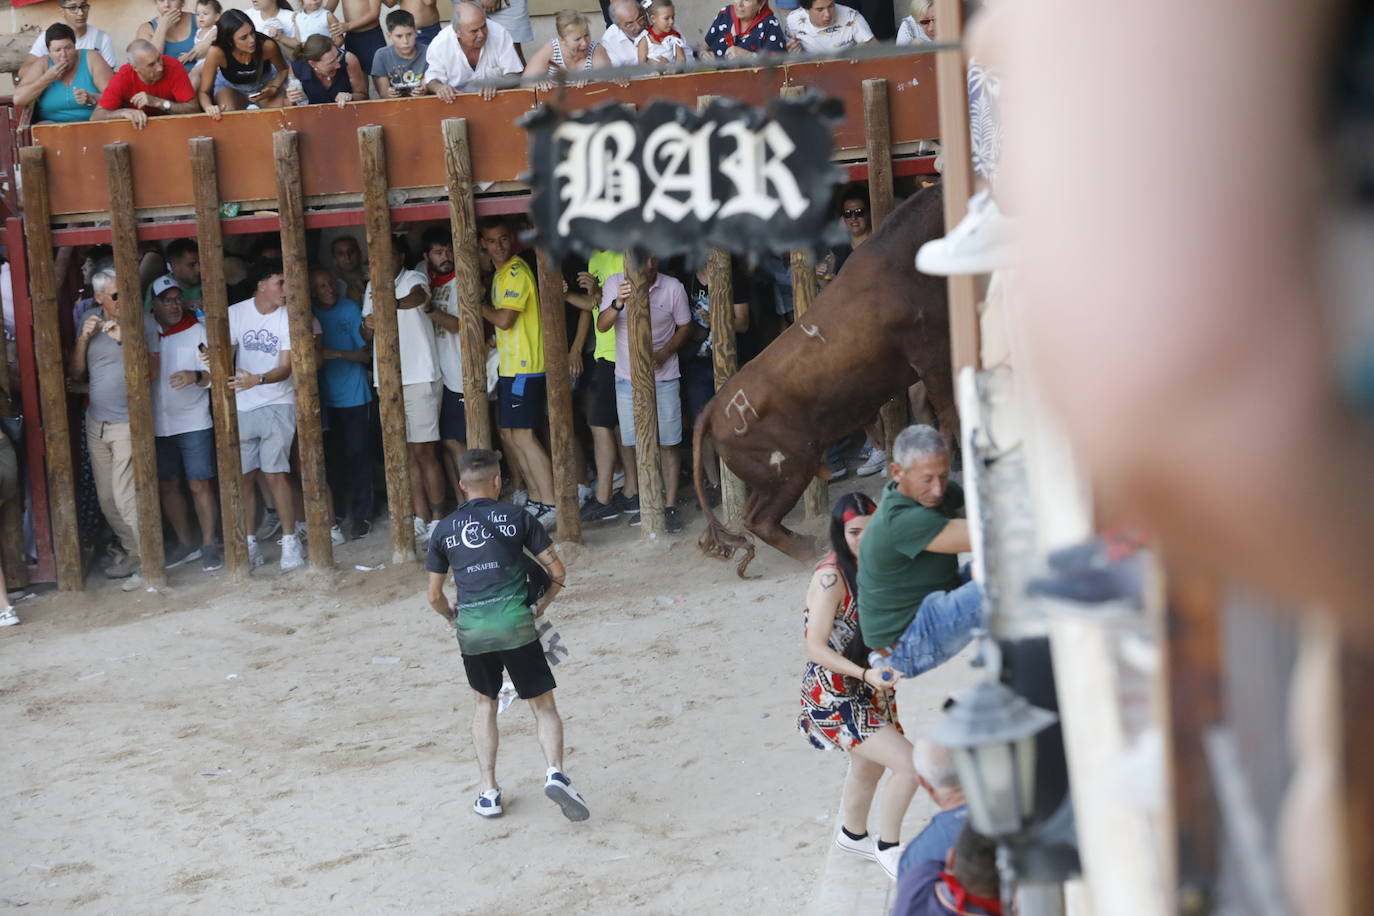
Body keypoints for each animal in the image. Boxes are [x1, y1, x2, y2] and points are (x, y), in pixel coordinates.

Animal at [687, 184, 956, 576]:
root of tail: (713, 409)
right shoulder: (932, 357)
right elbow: (950, 416)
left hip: (774, 478)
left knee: (754, 517)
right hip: (791, 468)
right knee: (760, 520)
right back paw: (809, 549)